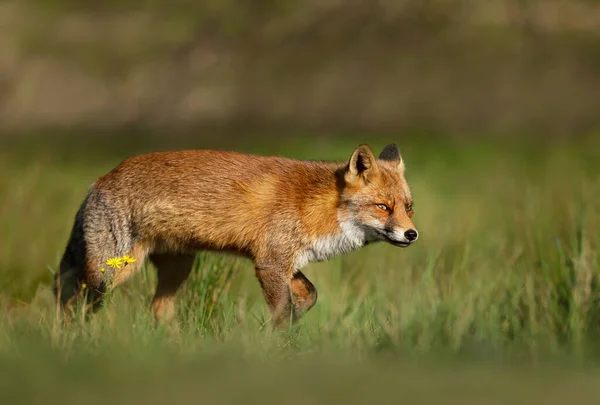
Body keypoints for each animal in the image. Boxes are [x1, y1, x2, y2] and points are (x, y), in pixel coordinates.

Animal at [55, 144, 418, 326]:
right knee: (72, 307)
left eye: (408, 207)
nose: (411, 234)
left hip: (177, 268)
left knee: (158, 310)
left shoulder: (284, 261)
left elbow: (309, 295)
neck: (317, 205)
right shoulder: (270, 264)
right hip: (110, 274)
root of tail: (100, 179)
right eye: (383, 207)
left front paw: (292, 320)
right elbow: (282, 313)